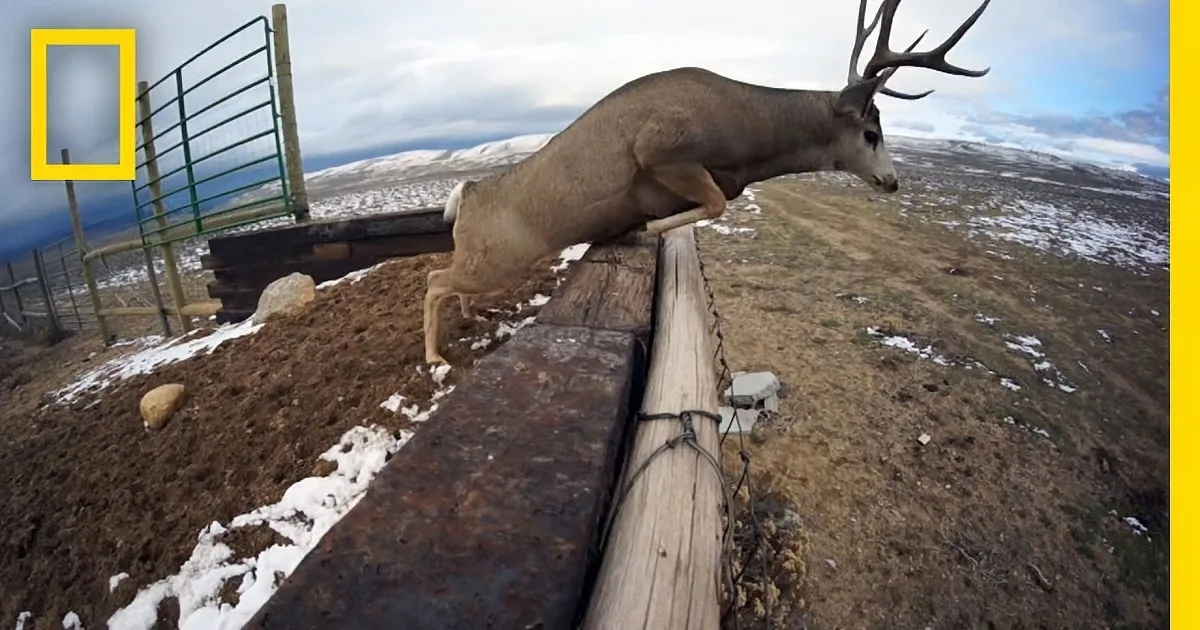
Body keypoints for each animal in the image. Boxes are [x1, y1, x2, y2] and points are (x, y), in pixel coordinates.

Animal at [424, 0, 992, 365]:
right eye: (871, 133)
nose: (892, 182)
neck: (751, 133)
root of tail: (466, 198)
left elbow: (716, 204)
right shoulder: (661, 149)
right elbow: (716, 203)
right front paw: (645, 227)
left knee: (451, 285)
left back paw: (471, 319)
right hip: (499, 258)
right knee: (434, 281)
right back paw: (435, 356)